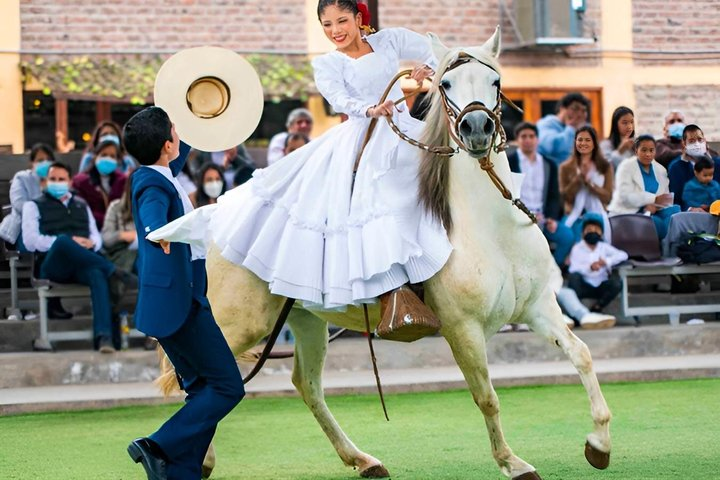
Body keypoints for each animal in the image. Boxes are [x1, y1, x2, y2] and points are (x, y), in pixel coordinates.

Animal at [157, 27, 612, 480]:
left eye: (495, 81)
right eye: (446, 85)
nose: (477, 128)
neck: (490, 228)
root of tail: (211, 221)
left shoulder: (537, 307)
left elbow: (583, 356)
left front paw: (599, 443)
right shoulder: (463, 329)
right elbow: (486, 396)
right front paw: (512, 462)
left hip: (305, 320)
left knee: (305, 384)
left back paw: (362, 460)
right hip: (238, 325)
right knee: (207, 382)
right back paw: (196, 459)